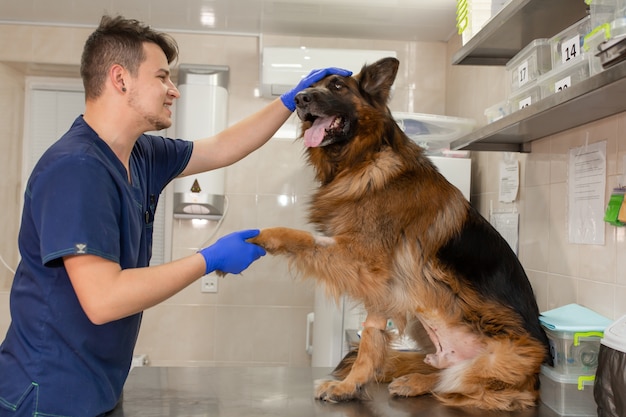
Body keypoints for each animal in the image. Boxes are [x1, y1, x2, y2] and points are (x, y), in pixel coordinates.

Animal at [246, 57, 548, 410]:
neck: (364, 159)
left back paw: (418, 381)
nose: (299, 98)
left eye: (337, 86)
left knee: (455, 381)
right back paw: (411, 377)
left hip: (497, 359)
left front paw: (257, 237)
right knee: (439, 368)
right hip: (422, 321)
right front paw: (351, 385)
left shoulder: (364, 261)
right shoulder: (380, 284)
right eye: (310, 84)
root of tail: (536, 380)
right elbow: (371, 336)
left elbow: (302, 237)